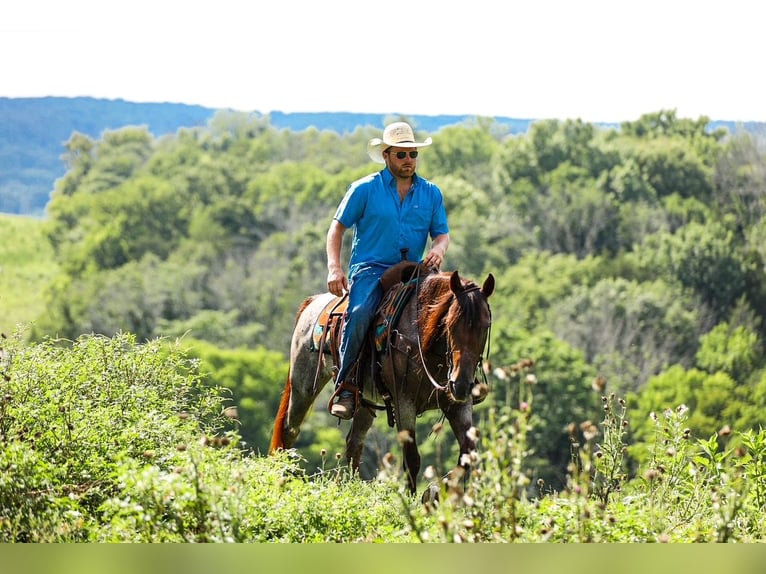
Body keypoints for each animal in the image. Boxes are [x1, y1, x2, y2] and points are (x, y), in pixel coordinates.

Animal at [269, 263, 495, 495]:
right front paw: (415, 499)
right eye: (450, 324)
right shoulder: (404, 402)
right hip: (303, 387)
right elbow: (412, 459)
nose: (461, 384)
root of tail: (313, 302)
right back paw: (284, 478)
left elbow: (468, 454)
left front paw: (436, 493)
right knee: (289, 430)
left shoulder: (458, 405)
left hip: (364, 401)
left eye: (485, 326)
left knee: (353, 443)